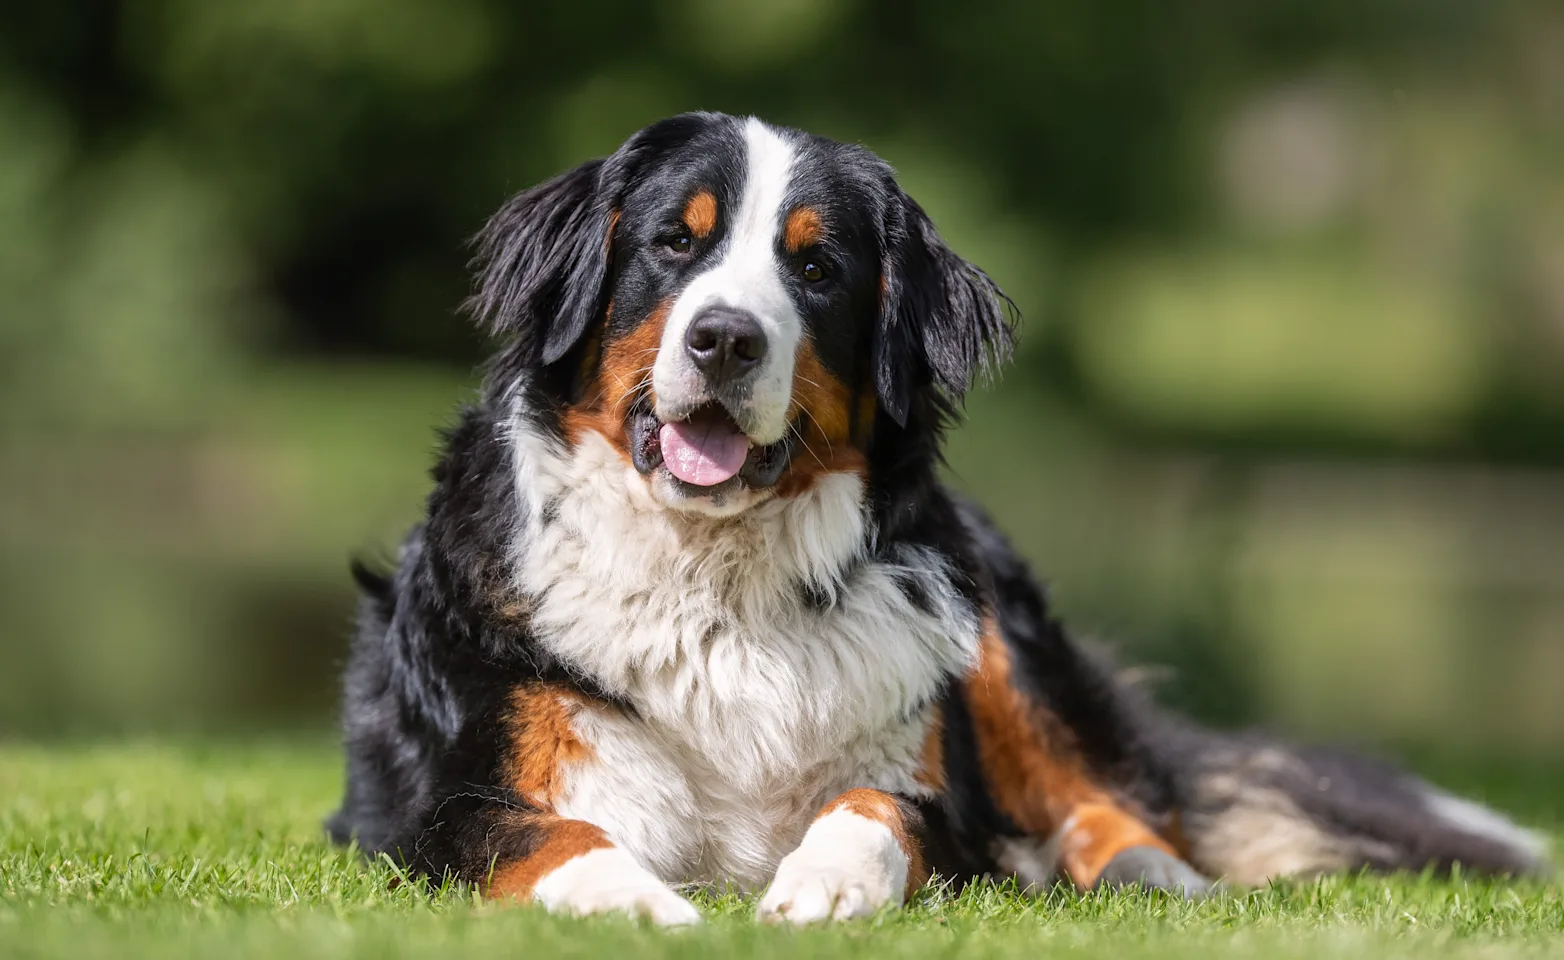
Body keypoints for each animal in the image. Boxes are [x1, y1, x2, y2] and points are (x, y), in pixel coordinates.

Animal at [330, 111, 1551, 925]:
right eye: (674, 243)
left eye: (816, 267)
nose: (725, 338)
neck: (716, 577)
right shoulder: (445, 804)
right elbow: (554, 833)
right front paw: (639, 908)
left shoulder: (937, 787)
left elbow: (877, 804)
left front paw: (822, 885)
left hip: (994, 630)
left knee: (1109, 803)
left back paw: (1151, 873)